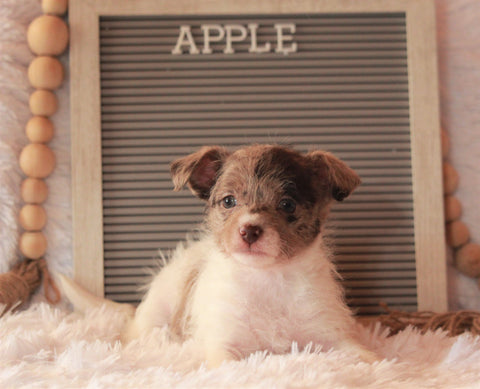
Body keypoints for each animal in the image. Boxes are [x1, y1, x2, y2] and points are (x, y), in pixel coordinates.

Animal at [118, 144, 376, 366]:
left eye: (287, 204)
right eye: (229, 201)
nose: (249, 231)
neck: (266, 277)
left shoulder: (329, 334)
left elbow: (367, 356)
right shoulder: (224, 342)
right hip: (155, 311)